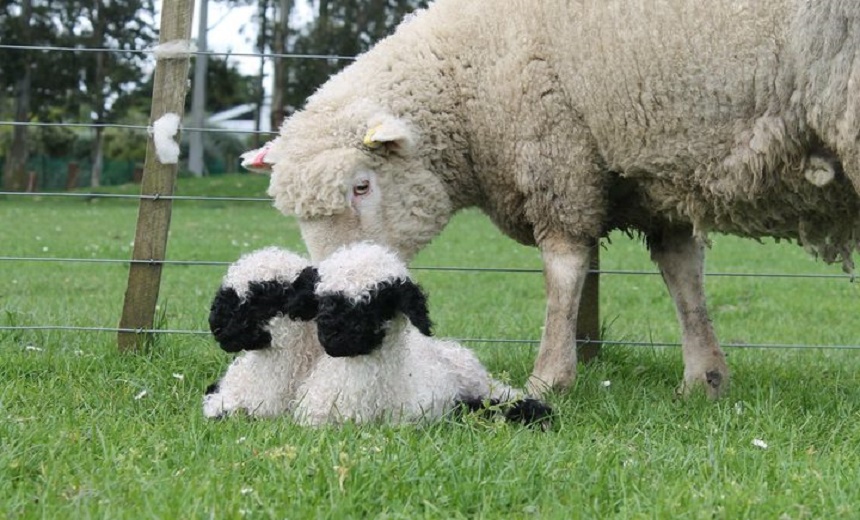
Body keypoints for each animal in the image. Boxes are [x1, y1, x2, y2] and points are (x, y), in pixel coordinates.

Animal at [252, 1, 860, 398]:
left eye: (362, 186)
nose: (331, 295)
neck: (469, 78)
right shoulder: (658, 177)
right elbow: (684, 278)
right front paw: (705, 379)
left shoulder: (555, 153)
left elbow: (564, 271)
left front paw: (550, 377)